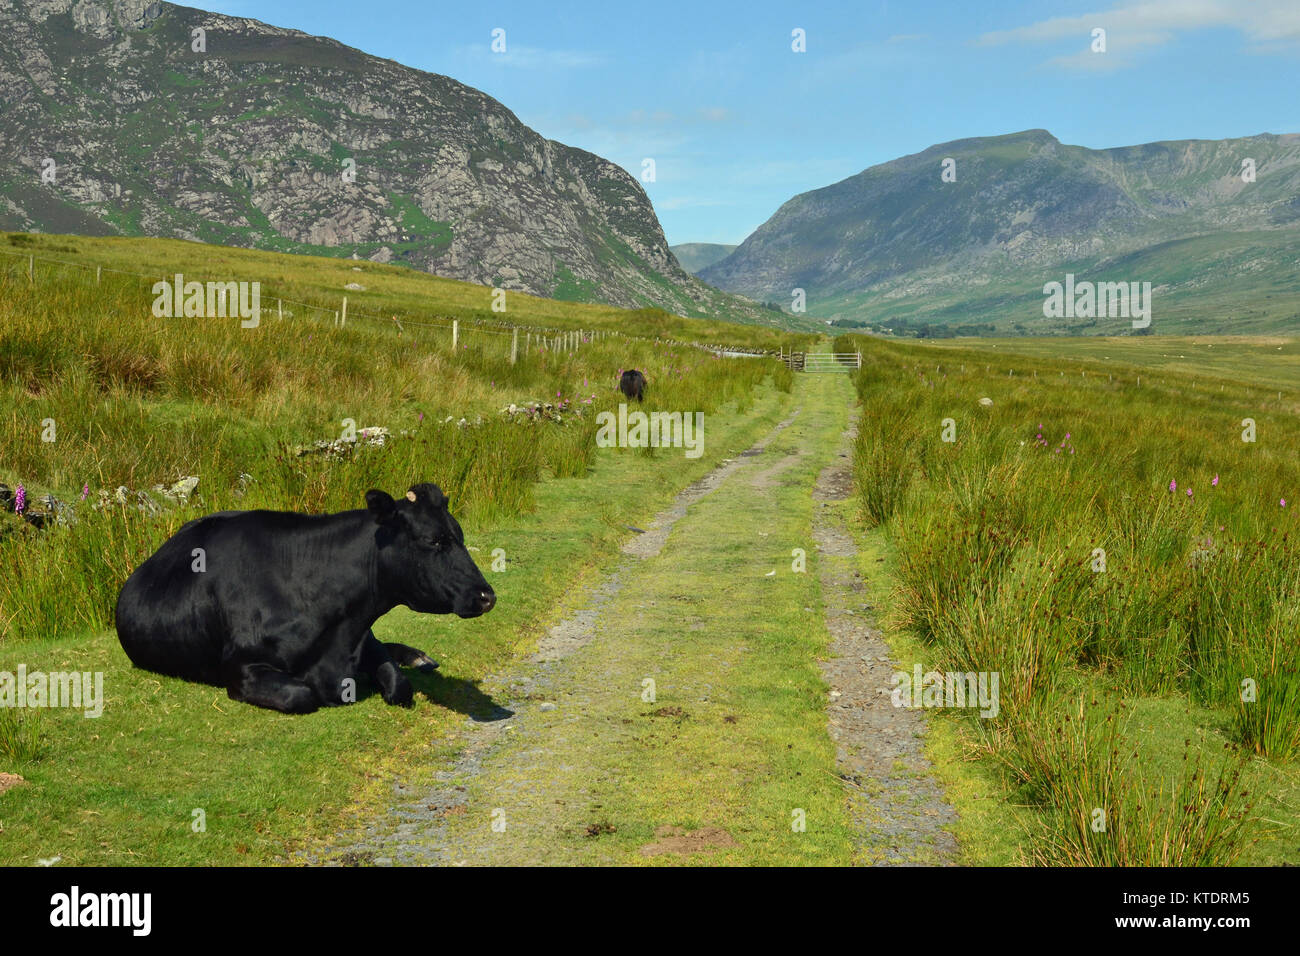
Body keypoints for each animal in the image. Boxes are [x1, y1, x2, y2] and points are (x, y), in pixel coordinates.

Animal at [116, 481, 493, 712]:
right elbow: (301, 694)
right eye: (434, 541)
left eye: (459, 535)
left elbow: (399, 685)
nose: (487, 596)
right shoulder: (241, 667)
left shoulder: (362, 636)